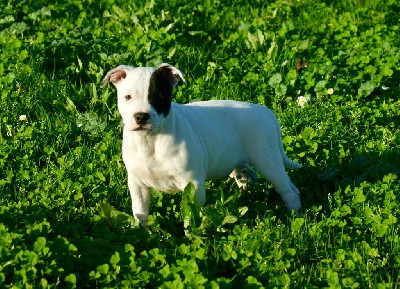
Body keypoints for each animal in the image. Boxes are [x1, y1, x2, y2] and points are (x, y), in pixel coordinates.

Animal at [101, 62, 302, 225]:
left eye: (158, 97)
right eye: (127, 97)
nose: (141, 116)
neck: (150, 141)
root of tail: (265, 111)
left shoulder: (193, 183)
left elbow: (192, 213)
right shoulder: (137, 184)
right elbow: (140, 212)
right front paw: (142, 234)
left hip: (267, 159)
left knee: (286, 188)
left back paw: (295, 214)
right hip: (242, 160)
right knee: (260, 177)